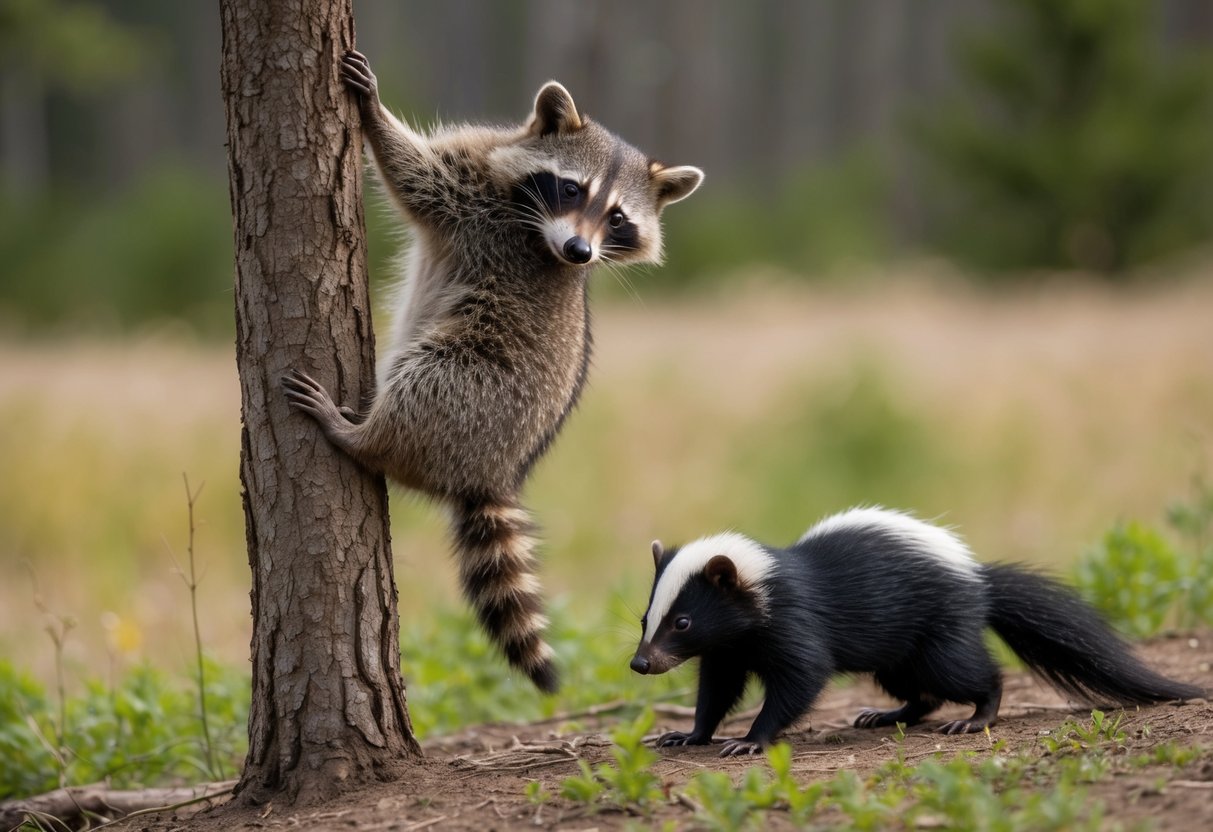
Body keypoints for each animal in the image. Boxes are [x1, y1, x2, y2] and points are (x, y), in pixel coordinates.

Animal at [284, 50, 703, 692]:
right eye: (570, 188)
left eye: (617, 217)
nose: (580, 253)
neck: (538, 224)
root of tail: (497, 467)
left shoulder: (475, 212)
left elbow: (415, 177)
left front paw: (375, 116)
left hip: (473, 389)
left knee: (424, 387)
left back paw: (360, 436)